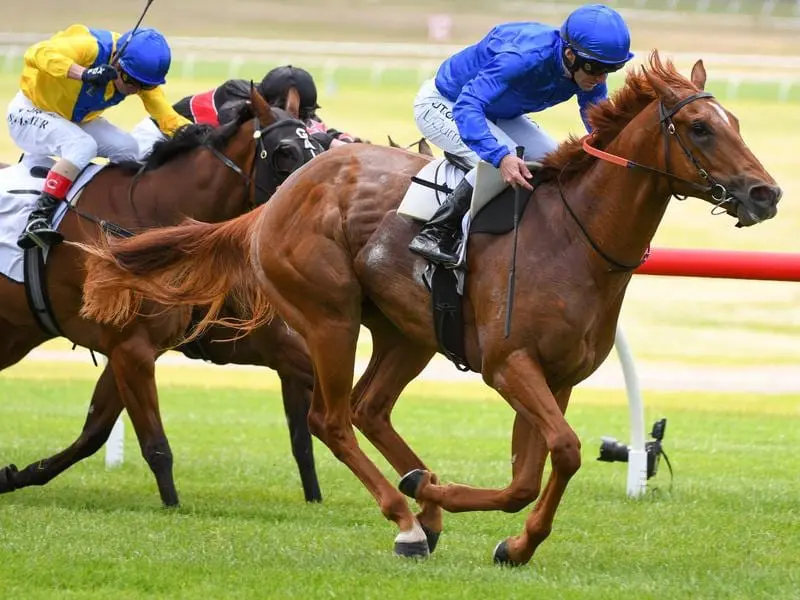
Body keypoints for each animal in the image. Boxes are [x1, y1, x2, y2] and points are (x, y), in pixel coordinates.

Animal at [2, 86, 324, 504]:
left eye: (318, 145)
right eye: (286, 152)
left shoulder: (140, 348)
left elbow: (93, 432)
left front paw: (15, 475)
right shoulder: (133, 347)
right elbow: (155, 445)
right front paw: (172, 505)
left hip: (15, 332)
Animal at [78, 54, 780, 564]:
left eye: (738, 123)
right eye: (699, 127)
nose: (765, 193)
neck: (574, 238)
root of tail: (278, 198)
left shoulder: (555, 378)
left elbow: (537, 468)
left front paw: (511, 541)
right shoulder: (508, 364)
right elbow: (561, 454)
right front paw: (444, 500)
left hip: (405, 333)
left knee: (369, 408)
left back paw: (424, 504)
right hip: (330, 317)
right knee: (331, 418)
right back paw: (408, 518)